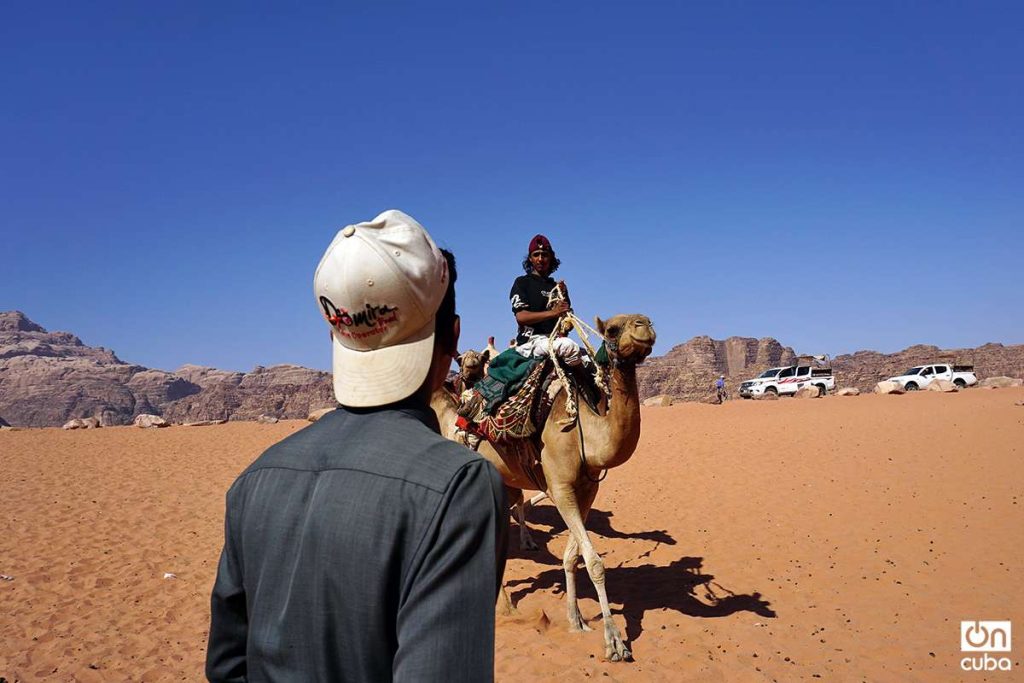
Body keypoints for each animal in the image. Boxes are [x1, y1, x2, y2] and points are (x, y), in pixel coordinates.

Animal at [430, 315, 655, 663]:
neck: (585, 433)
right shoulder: (560, 486)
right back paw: (505, 607)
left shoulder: (586, 489)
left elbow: (572, 556)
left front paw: (576, 620)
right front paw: (615, 641)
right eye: (612, 329)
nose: (644, 324)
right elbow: (594, 562)